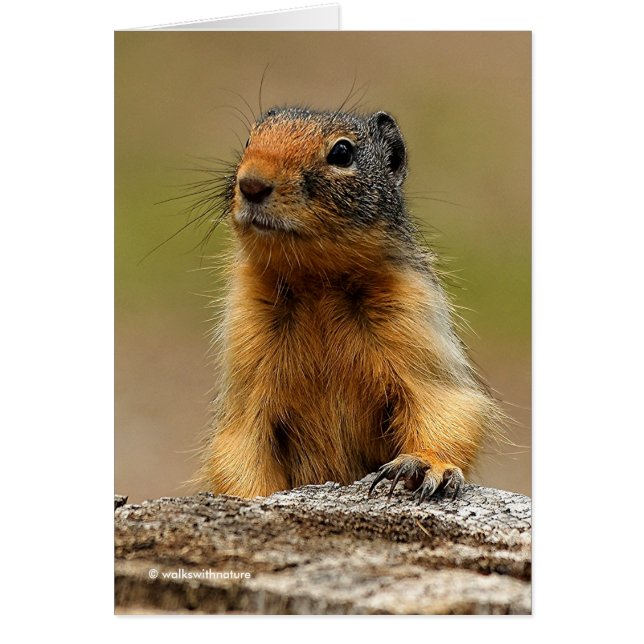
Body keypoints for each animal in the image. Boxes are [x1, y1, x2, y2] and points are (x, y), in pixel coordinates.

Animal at [195, 106, 504, 502]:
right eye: (250, 138)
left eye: (342, 152)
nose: (251, 184)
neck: (317, 284)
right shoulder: (246, 346)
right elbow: (238, 445)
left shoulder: (414, 320)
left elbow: (447, 406)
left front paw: (424, 467)